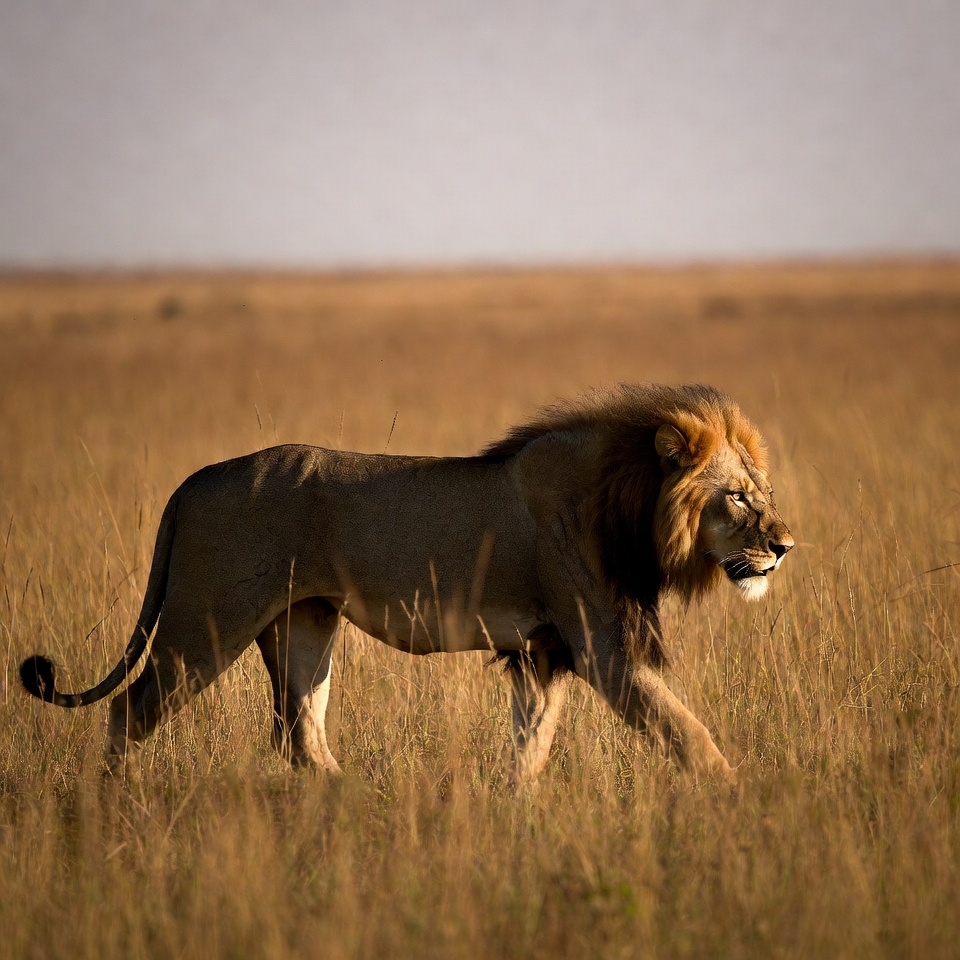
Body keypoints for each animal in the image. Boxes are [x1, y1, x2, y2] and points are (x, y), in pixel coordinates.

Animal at [21, 383, 793, 782]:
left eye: (765, 492)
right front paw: (734, 803)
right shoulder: (599, 647)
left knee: (301, 732)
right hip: (204, 624)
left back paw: (349, 805)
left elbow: (532, 746)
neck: (626, 503)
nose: (785, 546)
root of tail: (191, 483)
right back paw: (116, 806)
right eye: (737, 498)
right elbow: (686, 732)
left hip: (306, 623)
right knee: (130, 712)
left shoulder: (543, 652)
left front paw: (513, 813)